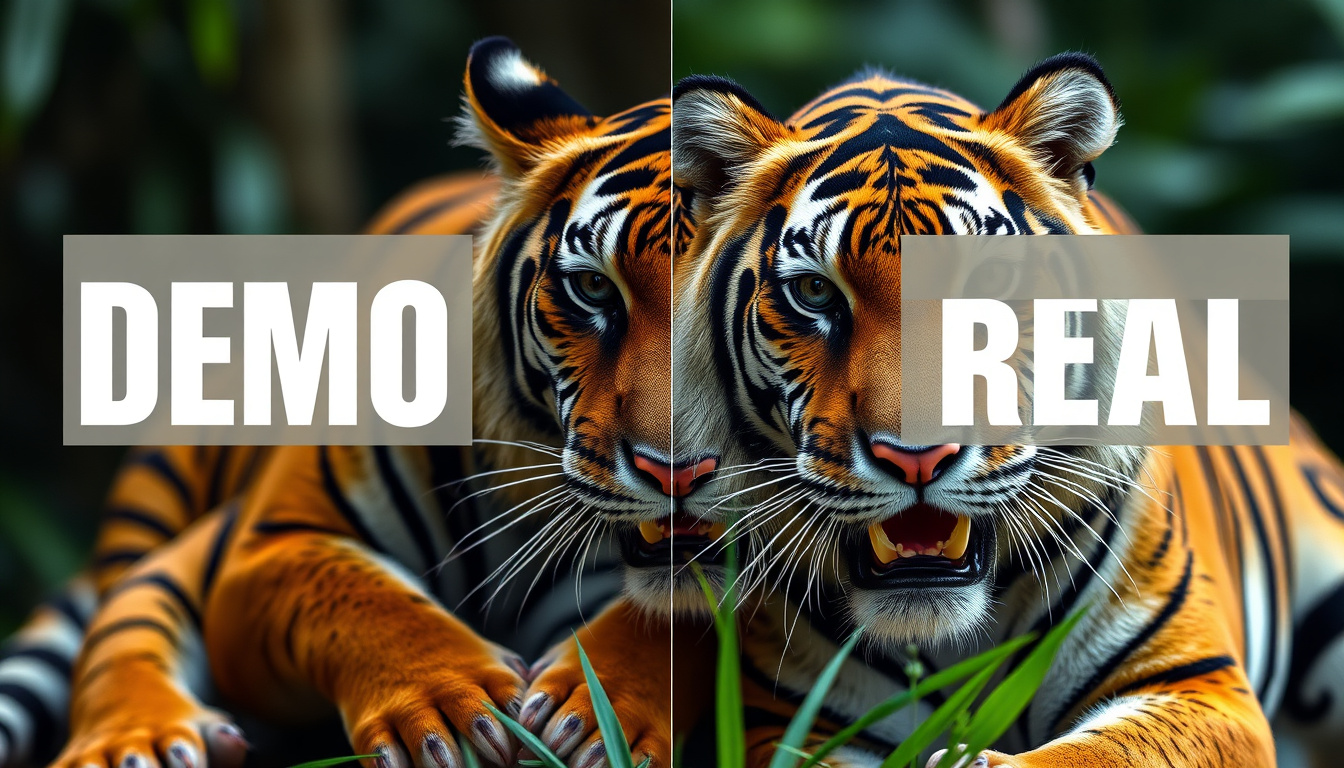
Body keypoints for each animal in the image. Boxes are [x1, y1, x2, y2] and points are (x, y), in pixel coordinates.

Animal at [1, 36, 689, 768]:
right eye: (595, 287)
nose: (672, 469)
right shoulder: (270, 542)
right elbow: (365, 602)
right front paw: (454, 710)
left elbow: (662, 623)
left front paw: (595, 720)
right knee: (121, 630)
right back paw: (139, 746)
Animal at [671, 52, 1344, 768]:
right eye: (815, 292)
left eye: (990, 283)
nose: (917, 457)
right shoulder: (796, 721)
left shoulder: (1195, 682)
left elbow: (1095, 753)